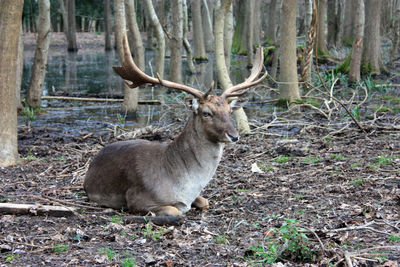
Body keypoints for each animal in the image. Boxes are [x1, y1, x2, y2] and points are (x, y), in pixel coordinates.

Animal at [83, 34, 268, 218]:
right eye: (206, 113)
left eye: (230, 111)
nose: (234, 135)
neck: (185, 185)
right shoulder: (136, 198)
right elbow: (174, 209)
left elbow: (205, 201)